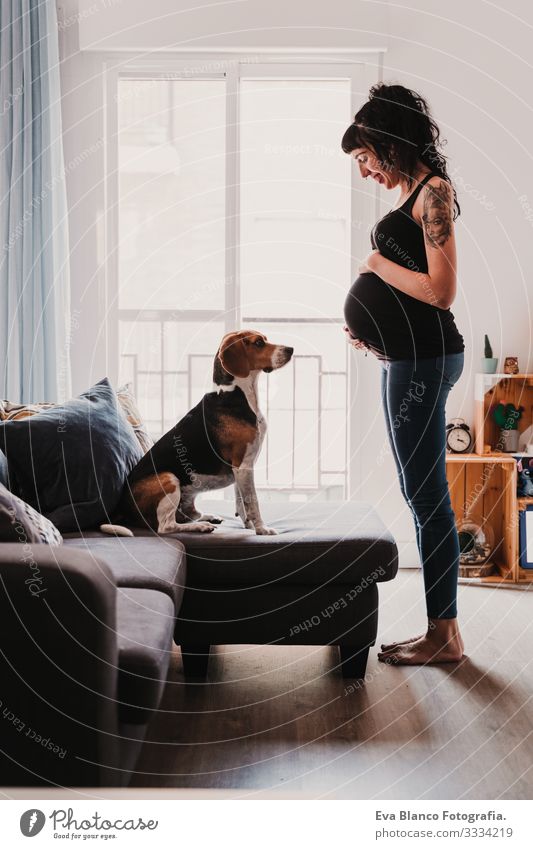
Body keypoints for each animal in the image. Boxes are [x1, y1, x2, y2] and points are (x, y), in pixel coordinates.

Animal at [102, 332, 294, 536]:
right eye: (258, 343)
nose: (291, 349)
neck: (236, 394)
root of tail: (121, 508)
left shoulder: (241, 469)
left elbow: (241, 502)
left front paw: (248, 525)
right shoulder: (243, 466)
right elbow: (252, 502)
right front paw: (262, 529)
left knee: (189, 514)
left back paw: (207, 517)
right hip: (168, 479)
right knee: (166, 526)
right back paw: (200, 527)